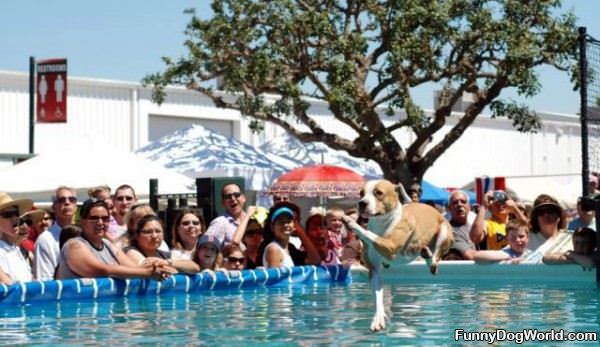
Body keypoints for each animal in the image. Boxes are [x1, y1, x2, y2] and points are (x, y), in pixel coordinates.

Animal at [342, 179, 450, 332]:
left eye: (378, 193)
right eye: (361, 193)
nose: (362, 203)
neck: (381, 222)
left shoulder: (389, 245)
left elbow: (368, 234)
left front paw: (350, 222)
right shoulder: (374, 271)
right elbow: (378, 298)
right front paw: (378, 319)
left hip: (444, 233)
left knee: (436, 260)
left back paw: (430, 257)